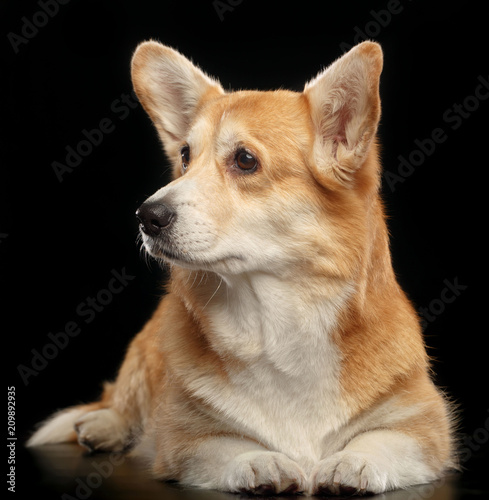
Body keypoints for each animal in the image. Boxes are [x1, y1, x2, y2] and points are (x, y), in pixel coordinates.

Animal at [26, 40, 456, 496]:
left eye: (245, 160)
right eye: (185, 156)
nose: (146, 216)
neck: (275, 321)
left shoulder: (426, 427)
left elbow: (383, 439)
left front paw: (351, 462)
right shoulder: (182, 438)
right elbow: (226, 444)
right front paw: (261, 462)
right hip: (142, 359)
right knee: (118, 401)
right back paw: (102, 427)